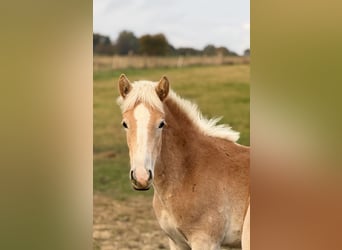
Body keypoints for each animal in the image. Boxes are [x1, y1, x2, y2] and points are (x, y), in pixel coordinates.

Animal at [117, 74, 248, 250]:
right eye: (125, 124)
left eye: (161, 124)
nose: (141, 177)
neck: (189, 171)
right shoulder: (176, 242)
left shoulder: (205, 241)